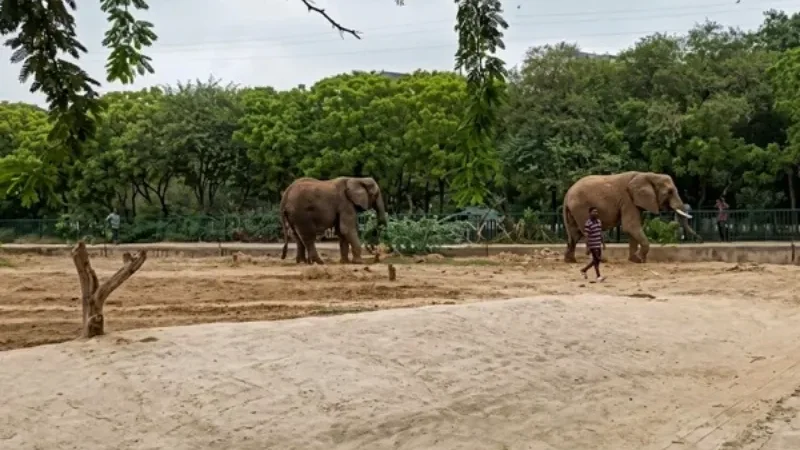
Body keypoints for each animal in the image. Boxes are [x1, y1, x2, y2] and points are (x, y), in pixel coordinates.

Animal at [562, 171, 699, 263]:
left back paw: (570, 260)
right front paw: (639, 259)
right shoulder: (628, 200)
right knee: (585, 232)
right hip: (582, 208)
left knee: (574, 234)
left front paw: (634, 260)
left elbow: (632, 229)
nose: (698, 238)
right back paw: (601, 260)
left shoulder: (634, 202)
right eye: (669, 192)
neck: (647, 174)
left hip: (575, 210)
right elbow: (631, 226)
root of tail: (567, 194)